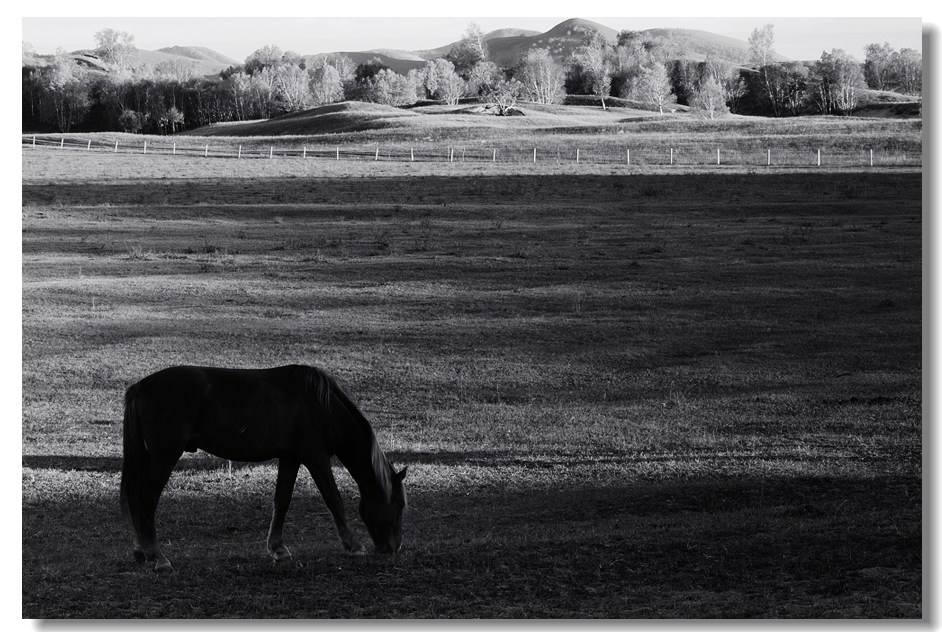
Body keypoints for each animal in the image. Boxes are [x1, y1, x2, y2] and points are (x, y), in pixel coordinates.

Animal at [120, 360, 408, 572]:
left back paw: (143, 552)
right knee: (146, 501)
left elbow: (282, 500)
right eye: (398, 504)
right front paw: (353, 545)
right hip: (164, 457)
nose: (394, 548)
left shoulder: (291, 458)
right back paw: (157, 557)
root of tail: (141, 386)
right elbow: (333, 498)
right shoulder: (315, 456)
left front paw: (278, 548)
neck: (321, 406)